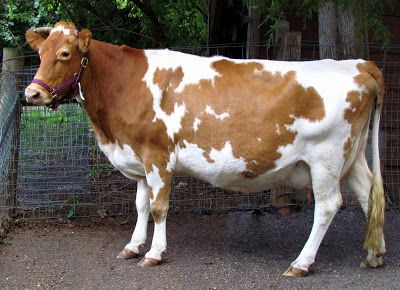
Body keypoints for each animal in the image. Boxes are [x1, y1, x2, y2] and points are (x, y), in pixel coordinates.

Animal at [24, 22, 384, 276]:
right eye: (40, 55)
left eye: (65, 54)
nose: (32, 94)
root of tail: (358, 64)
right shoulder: (136, 156)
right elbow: (140, 205)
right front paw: (133, 245)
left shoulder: (157, 155)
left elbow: (158, 208)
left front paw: (154, 253)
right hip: (353, 158)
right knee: (370, 195)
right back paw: (374, 254)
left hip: (326, 160)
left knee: (328, 206)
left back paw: (302, 263)